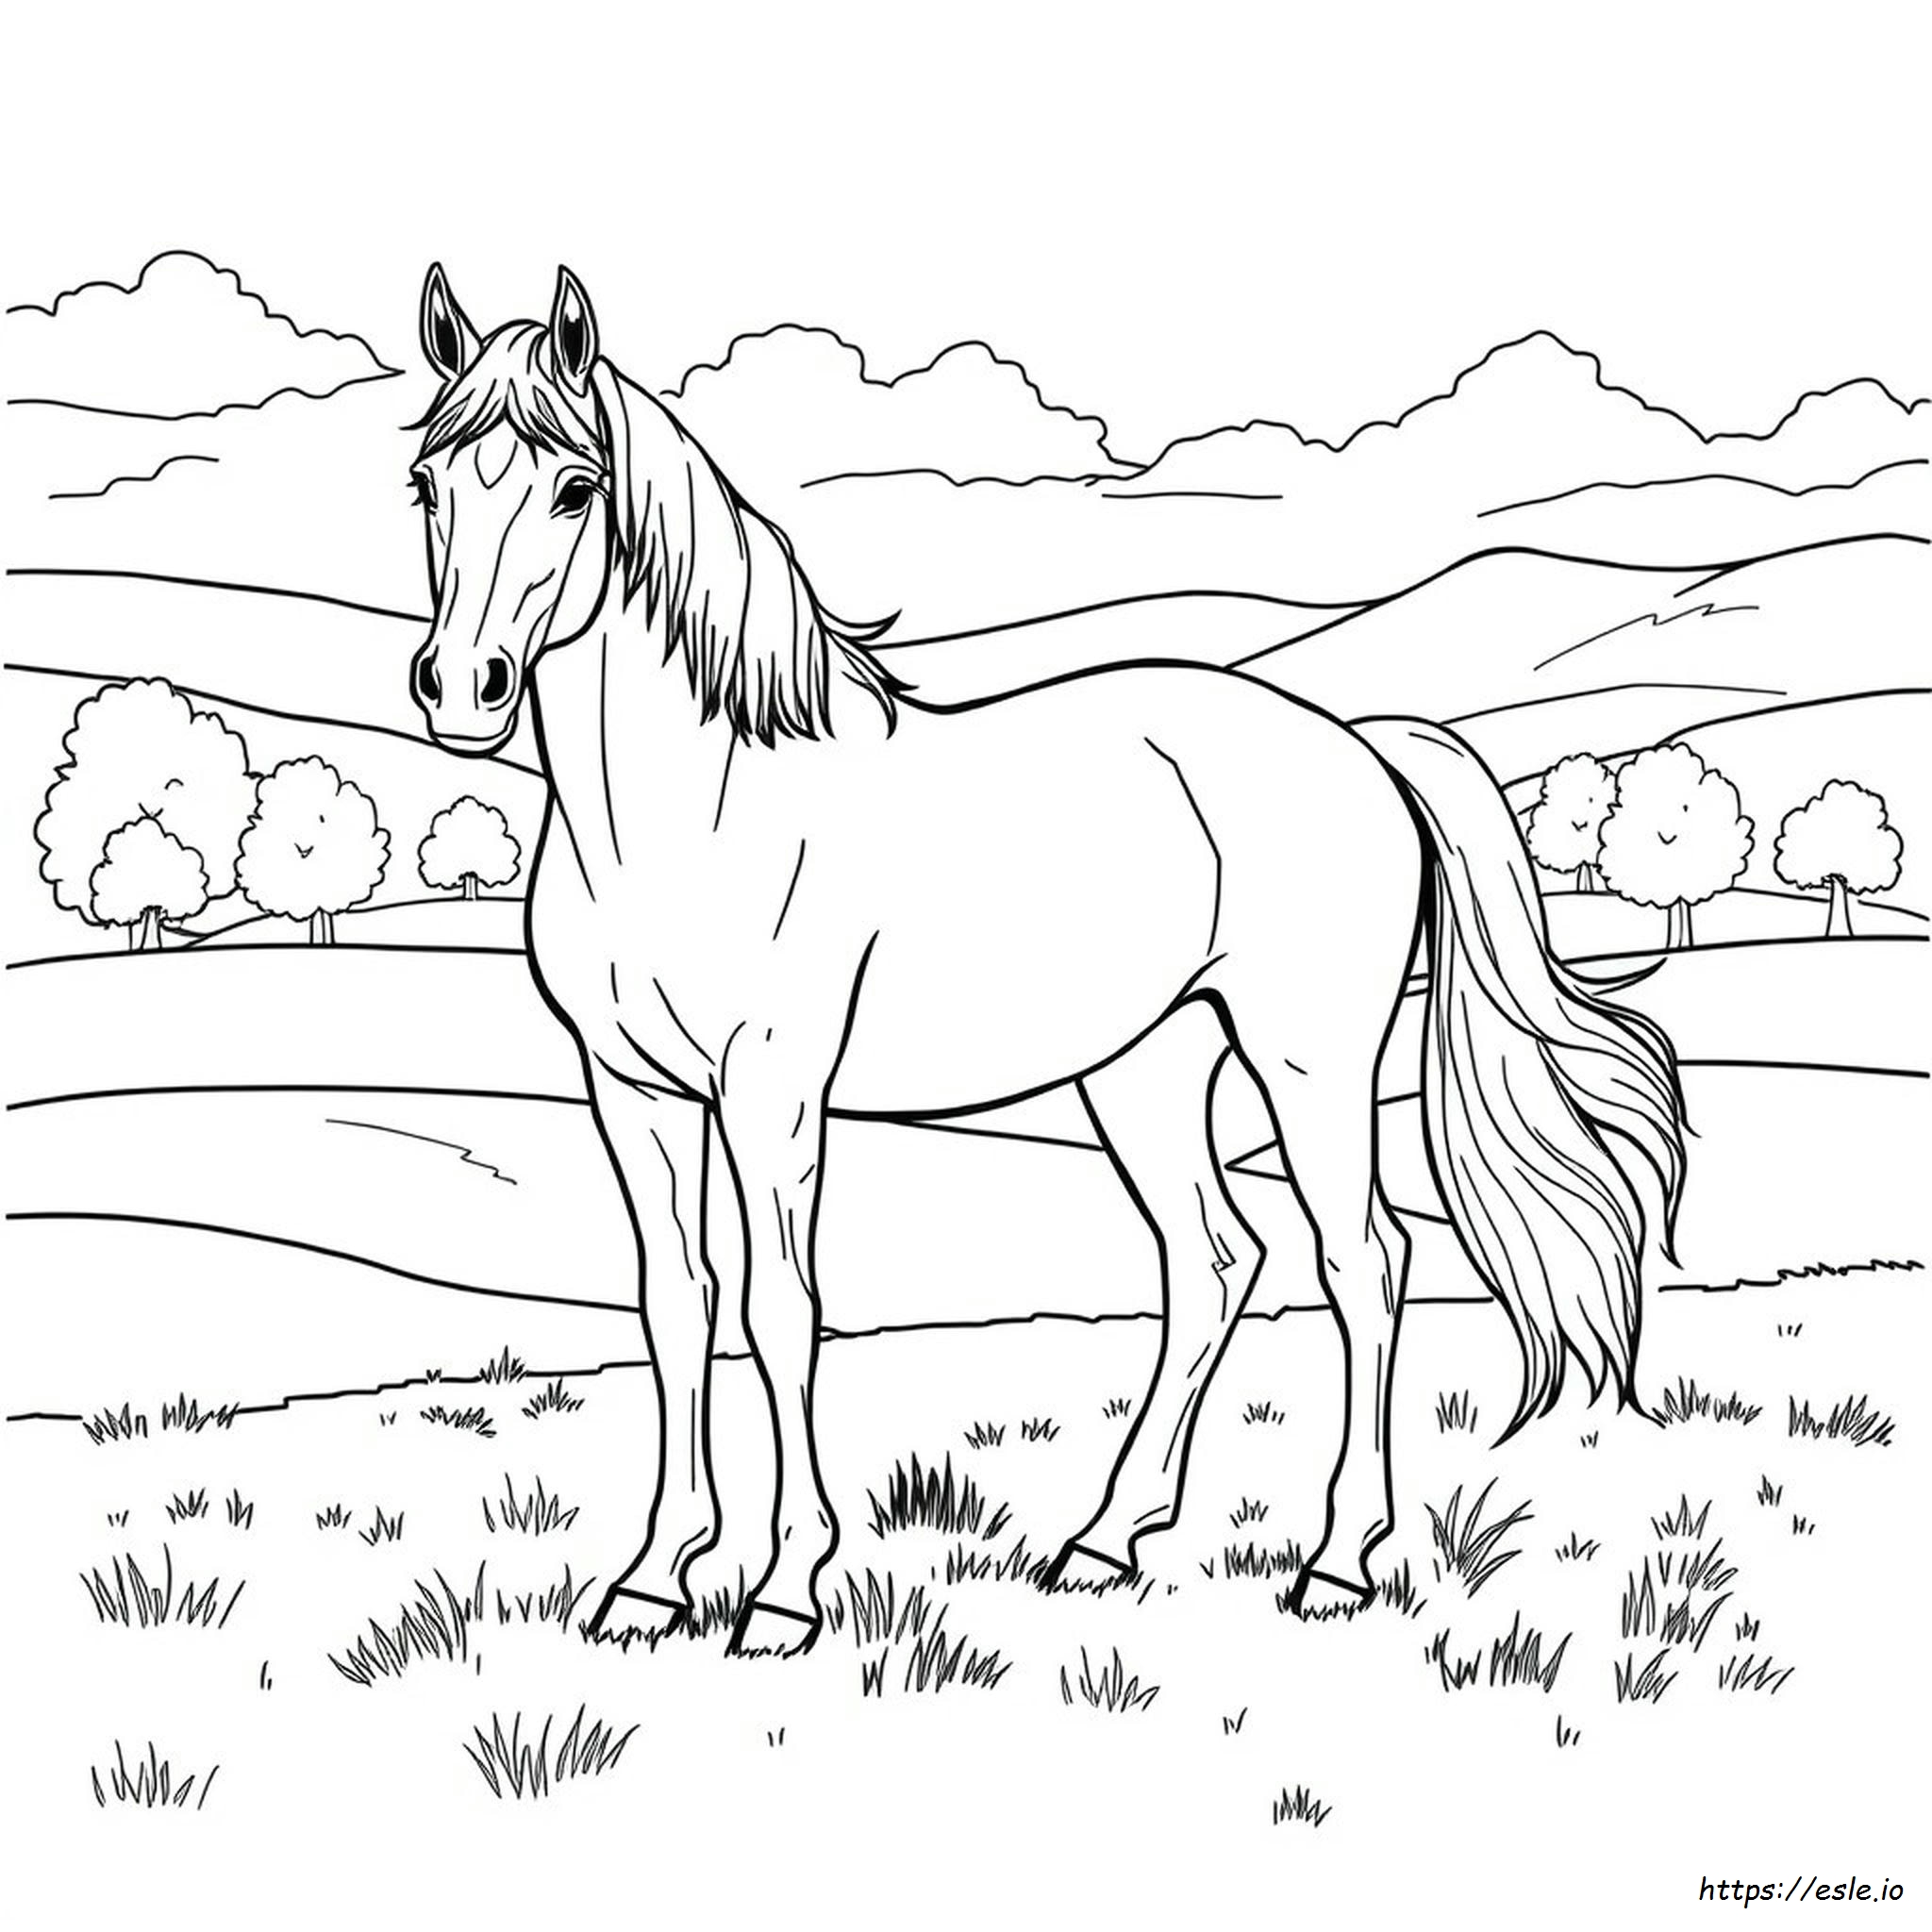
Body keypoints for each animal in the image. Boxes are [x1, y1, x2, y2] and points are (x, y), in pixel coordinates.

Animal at [405, 263, 1688, 1655]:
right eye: (426, 485)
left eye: (574, 487)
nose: (459, 688)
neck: (691, 811)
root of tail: (1363, 743)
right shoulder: (628, 1088)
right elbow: (678, 1306)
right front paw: (655, 1580)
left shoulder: (772, 1088)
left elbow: (780, 1311)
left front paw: (785, 1591)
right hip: (1146, 1069)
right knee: (1213, 1261)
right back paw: (1103, 1539)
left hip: (1310, 1062)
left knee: (1364, 1263)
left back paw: (1337, 1560)